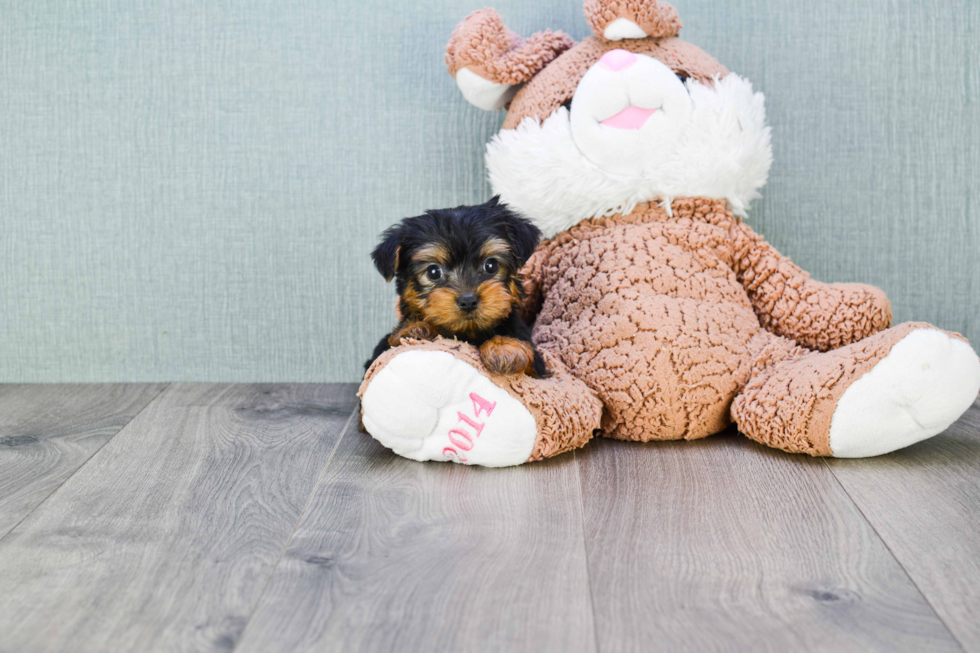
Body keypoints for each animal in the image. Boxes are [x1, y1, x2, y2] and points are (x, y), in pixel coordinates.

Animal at [366, 194, 548, 376]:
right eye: (433, 272)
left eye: (491, 265)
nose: (468, 301)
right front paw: (414, 328)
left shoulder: (538, 367)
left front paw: (505, 346)